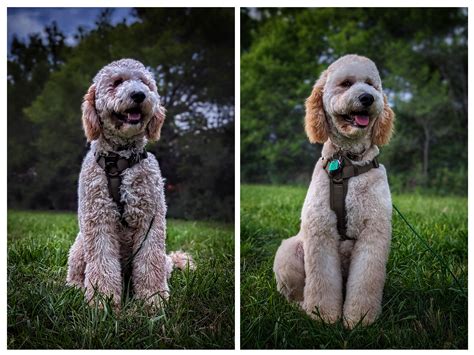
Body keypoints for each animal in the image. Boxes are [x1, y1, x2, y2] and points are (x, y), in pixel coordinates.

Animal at [65, 59, 193, 310]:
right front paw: (102, 302)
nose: (139, 95)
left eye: (144, 83)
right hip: (80, 245)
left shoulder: (150, 220)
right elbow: (102, 265)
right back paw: (75, 288)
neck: (119, 161)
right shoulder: (99, 219)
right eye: (116, 82)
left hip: (162, 259)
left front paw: (154, 300)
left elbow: (150, 264)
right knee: (75, 273)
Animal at [272, 54, 394, 330]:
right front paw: (323, 316)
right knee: (294, 294)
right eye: (346, 83)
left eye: (371, 84)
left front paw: (359, 319)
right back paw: (302, 306)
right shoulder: (320, 230)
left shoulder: (374, 234)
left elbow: (366, 280)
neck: (348, 161)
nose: (367, 98)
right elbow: (322, 281)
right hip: (288, 253)